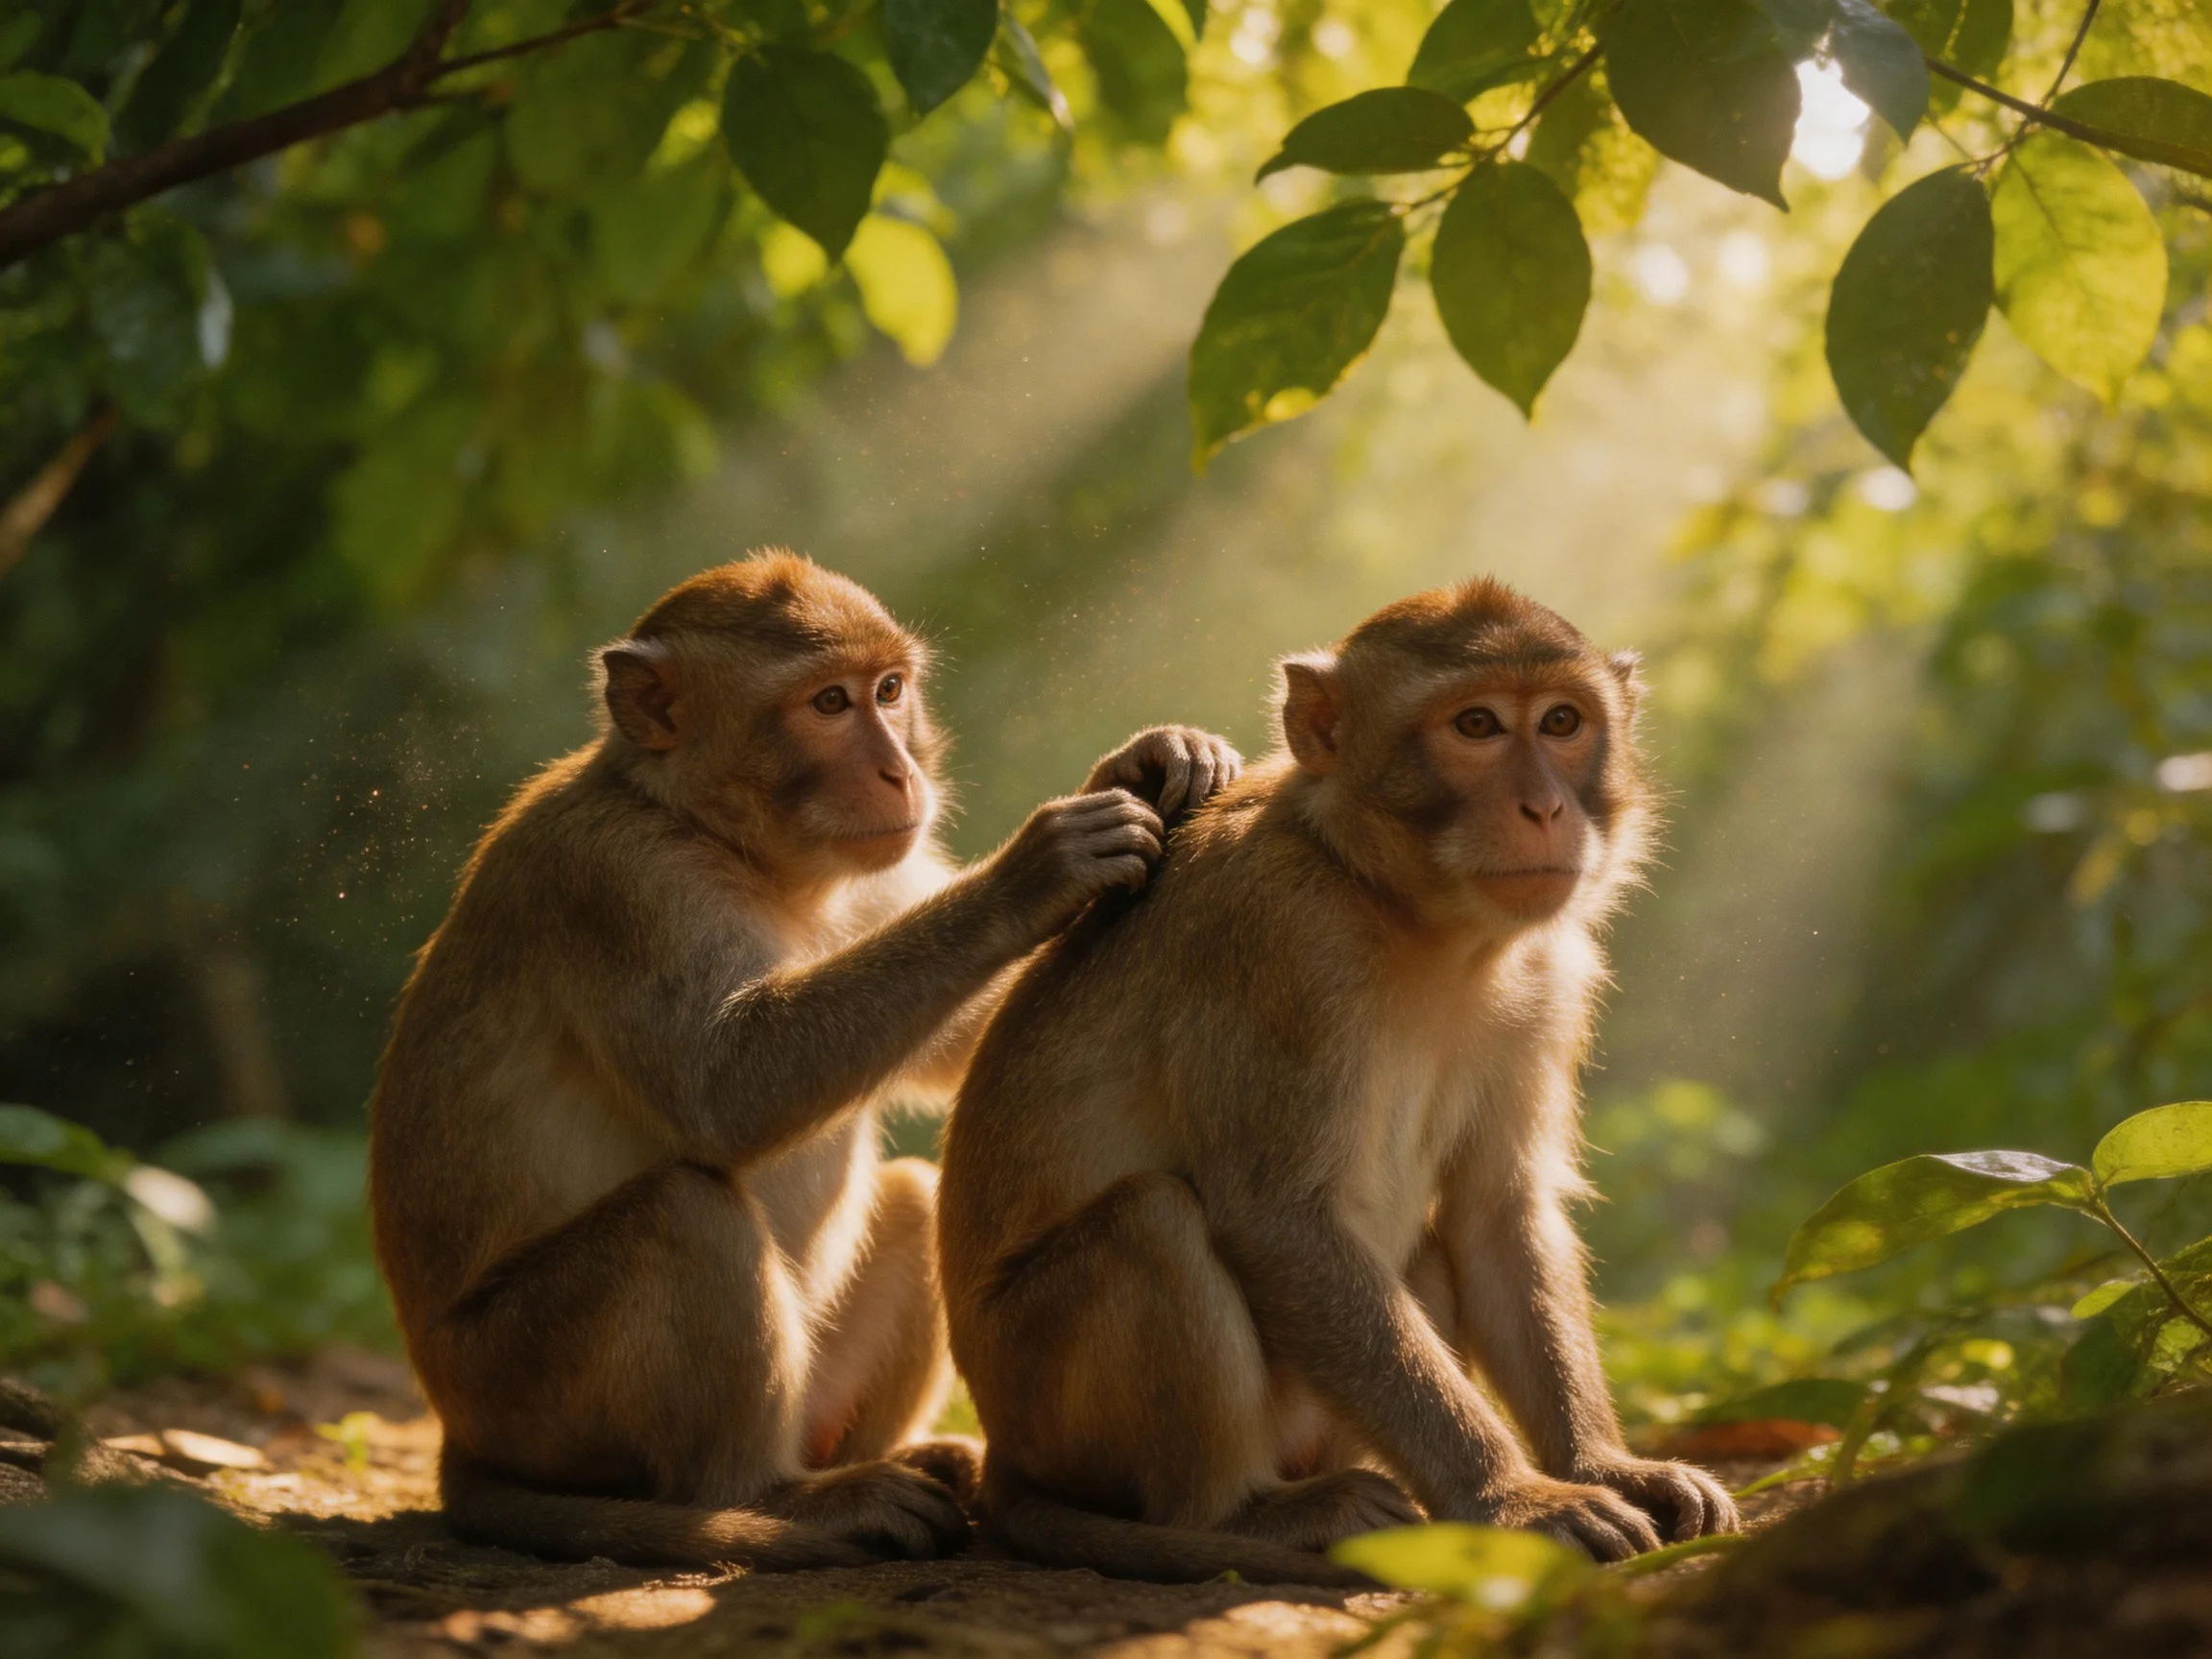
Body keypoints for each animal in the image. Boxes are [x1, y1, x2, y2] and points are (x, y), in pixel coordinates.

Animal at [369, 551, 1241, 1571]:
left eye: (889, 691)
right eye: (828, 703)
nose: (899, 770)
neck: (717, 839)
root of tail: (457, 1427)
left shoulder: (871, 885)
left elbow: (968, 1045)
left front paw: (1153, 759)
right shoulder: (614, 882)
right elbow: (725, 1092)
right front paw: (1039, 868)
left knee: (905, 1199)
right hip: (522, 1389)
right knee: (688, 1213)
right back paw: (774, 1499)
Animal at [938, 577, 1739, 1586]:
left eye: (1561, 722)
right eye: (1477, 725)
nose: (1546, 809)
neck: (1399, 906)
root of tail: (1000, 1446)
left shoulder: (1547, 975)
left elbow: (1495, 1210)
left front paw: (1604, 1468)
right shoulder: (1283, 944)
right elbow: (1279, 1220)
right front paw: (1514, 1503)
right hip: (1043, 1399)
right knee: (1150, 1222)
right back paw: (1247, 1517)